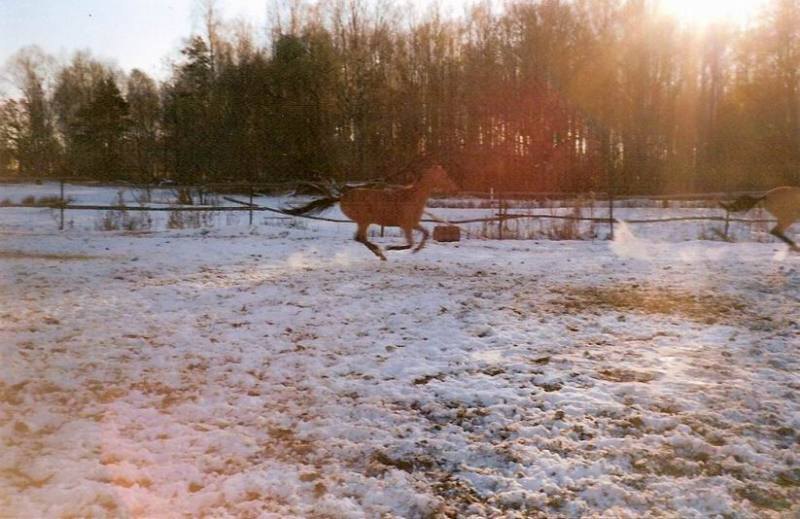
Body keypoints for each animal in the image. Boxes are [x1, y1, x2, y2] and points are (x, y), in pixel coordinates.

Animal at [282, 166, 456, 260]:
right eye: (444, 176)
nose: (455, 187)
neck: (413, 196)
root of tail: (341, 197)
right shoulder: (406, 225)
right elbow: (409, 243)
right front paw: (391, 248)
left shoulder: (413, 223)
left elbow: (425, 234)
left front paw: (416, 250)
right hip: (364, 220)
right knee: (360, 238)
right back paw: (381, 253)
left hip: (363, 221)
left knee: (360, 238)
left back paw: (379, 253)